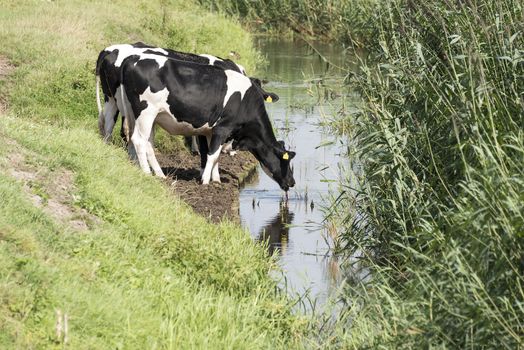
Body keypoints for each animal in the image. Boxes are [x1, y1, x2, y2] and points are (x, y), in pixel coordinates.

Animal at [120, 54, 296, 191]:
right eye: (285, 161)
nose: (292, 182)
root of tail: (133, 58)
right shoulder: (222, 129)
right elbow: (212, 155)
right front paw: (205, 181)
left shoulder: (211, 131)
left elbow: (215, 156)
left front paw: (216, 180)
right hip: (146, 112)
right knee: (139, 140)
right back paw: (146, 173)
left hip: (141, 115)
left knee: (145, 142)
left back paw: (157, 173)